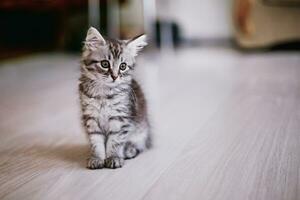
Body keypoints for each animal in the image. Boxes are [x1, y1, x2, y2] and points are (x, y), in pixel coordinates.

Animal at [78, 27, 151, 169]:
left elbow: (115, 141)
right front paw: (97, 158)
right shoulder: (91, 118)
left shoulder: (120, 119)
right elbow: (96, 142)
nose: (115, 76)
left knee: (140, 146)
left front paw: (113, 157)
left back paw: (129, 150)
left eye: (123, 66)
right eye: (105, 64)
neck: (104, 94)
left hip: (141, 130)